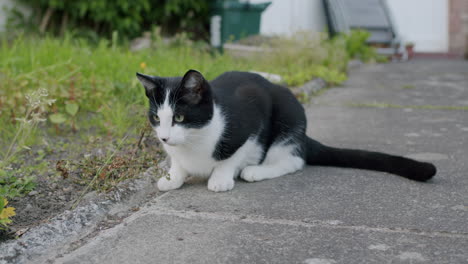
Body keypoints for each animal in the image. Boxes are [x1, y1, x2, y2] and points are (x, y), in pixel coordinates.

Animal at [137, 69, 436, 191]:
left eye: (179, 116)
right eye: (156, 118)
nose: (164, 137)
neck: (194, 142)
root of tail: (304, 136)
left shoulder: (252, 120)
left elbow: (231, 156)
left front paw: (221, 177)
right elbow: (177, 163)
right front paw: (172, 178)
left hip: (289, 120)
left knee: (294, 161)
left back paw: (255, 171)